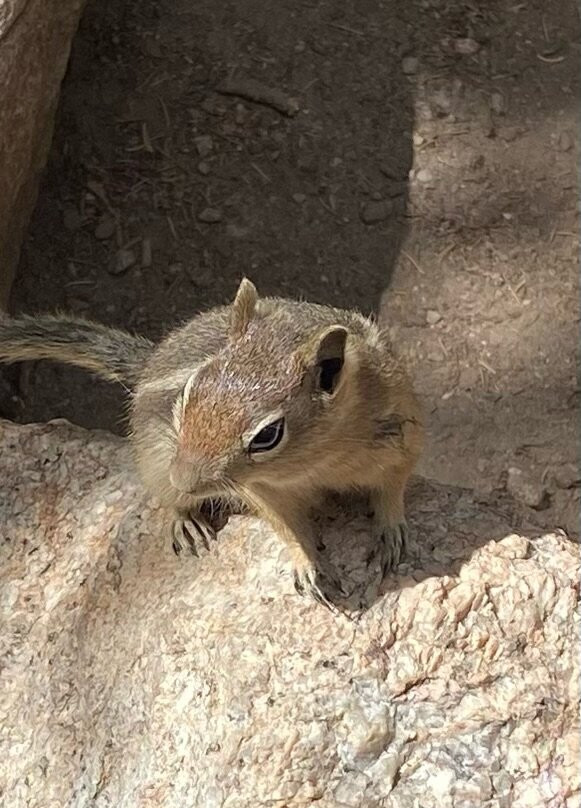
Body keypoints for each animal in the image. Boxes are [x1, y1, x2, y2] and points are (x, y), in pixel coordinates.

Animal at [0, 279, 423, 604]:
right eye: (190, 391)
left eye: (267, 435)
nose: (184, 479)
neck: (315, 463)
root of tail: (151, 361)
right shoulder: (261, 490)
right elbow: (286, 526)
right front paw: (308, 564)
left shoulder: (400, 439)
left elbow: (393, 488)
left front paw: (390, 532)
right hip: (154, 460)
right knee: (167, 499)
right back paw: (186, 521)